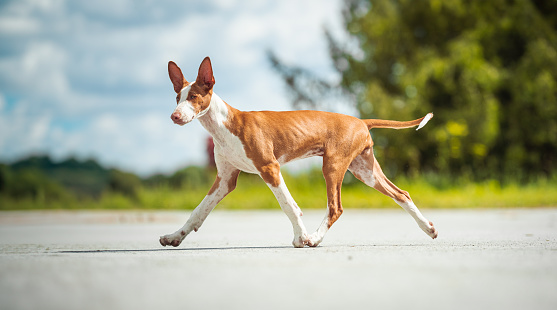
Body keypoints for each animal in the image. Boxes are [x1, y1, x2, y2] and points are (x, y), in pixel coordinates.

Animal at [159, 57, 436, 248]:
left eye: (194, 97)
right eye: (177, 98)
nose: (174, 116)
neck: (224, 125)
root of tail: (360, 121)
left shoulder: (269, 168)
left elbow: (289, 206)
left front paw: (301, 237)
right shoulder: (224, 180)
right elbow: (198, 212)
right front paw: (174, 237)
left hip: (333, 165)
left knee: (336, 207)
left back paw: (314, 238)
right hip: (365, 170)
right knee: (402, 194)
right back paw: (428, 228)